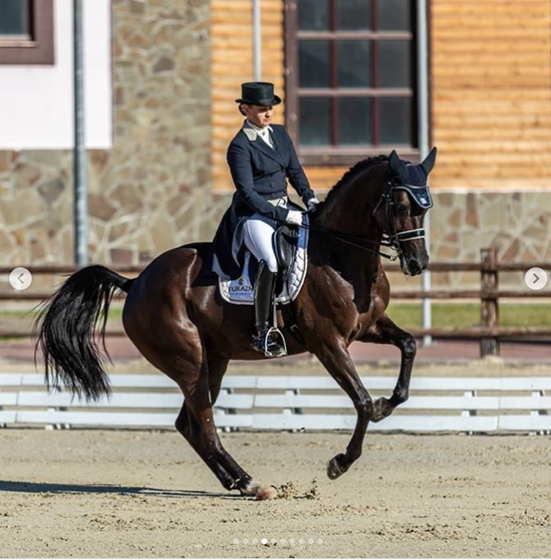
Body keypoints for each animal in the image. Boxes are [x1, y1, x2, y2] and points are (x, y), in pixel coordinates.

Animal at [36, 148, 438, 498]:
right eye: (400, 206)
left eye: (426, 207)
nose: (417, 263)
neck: (341, 256)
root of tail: (135, 283)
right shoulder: (328, 343)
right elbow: (363, 402)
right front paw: (339, 462)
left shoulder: (368, 328)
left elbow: (408, 346)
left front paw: (391, 403)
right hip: (189, 361)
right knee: (204, 425)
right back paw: (251, 484)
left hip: (213, 360)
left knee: (189, 425)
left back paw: (240, 483)